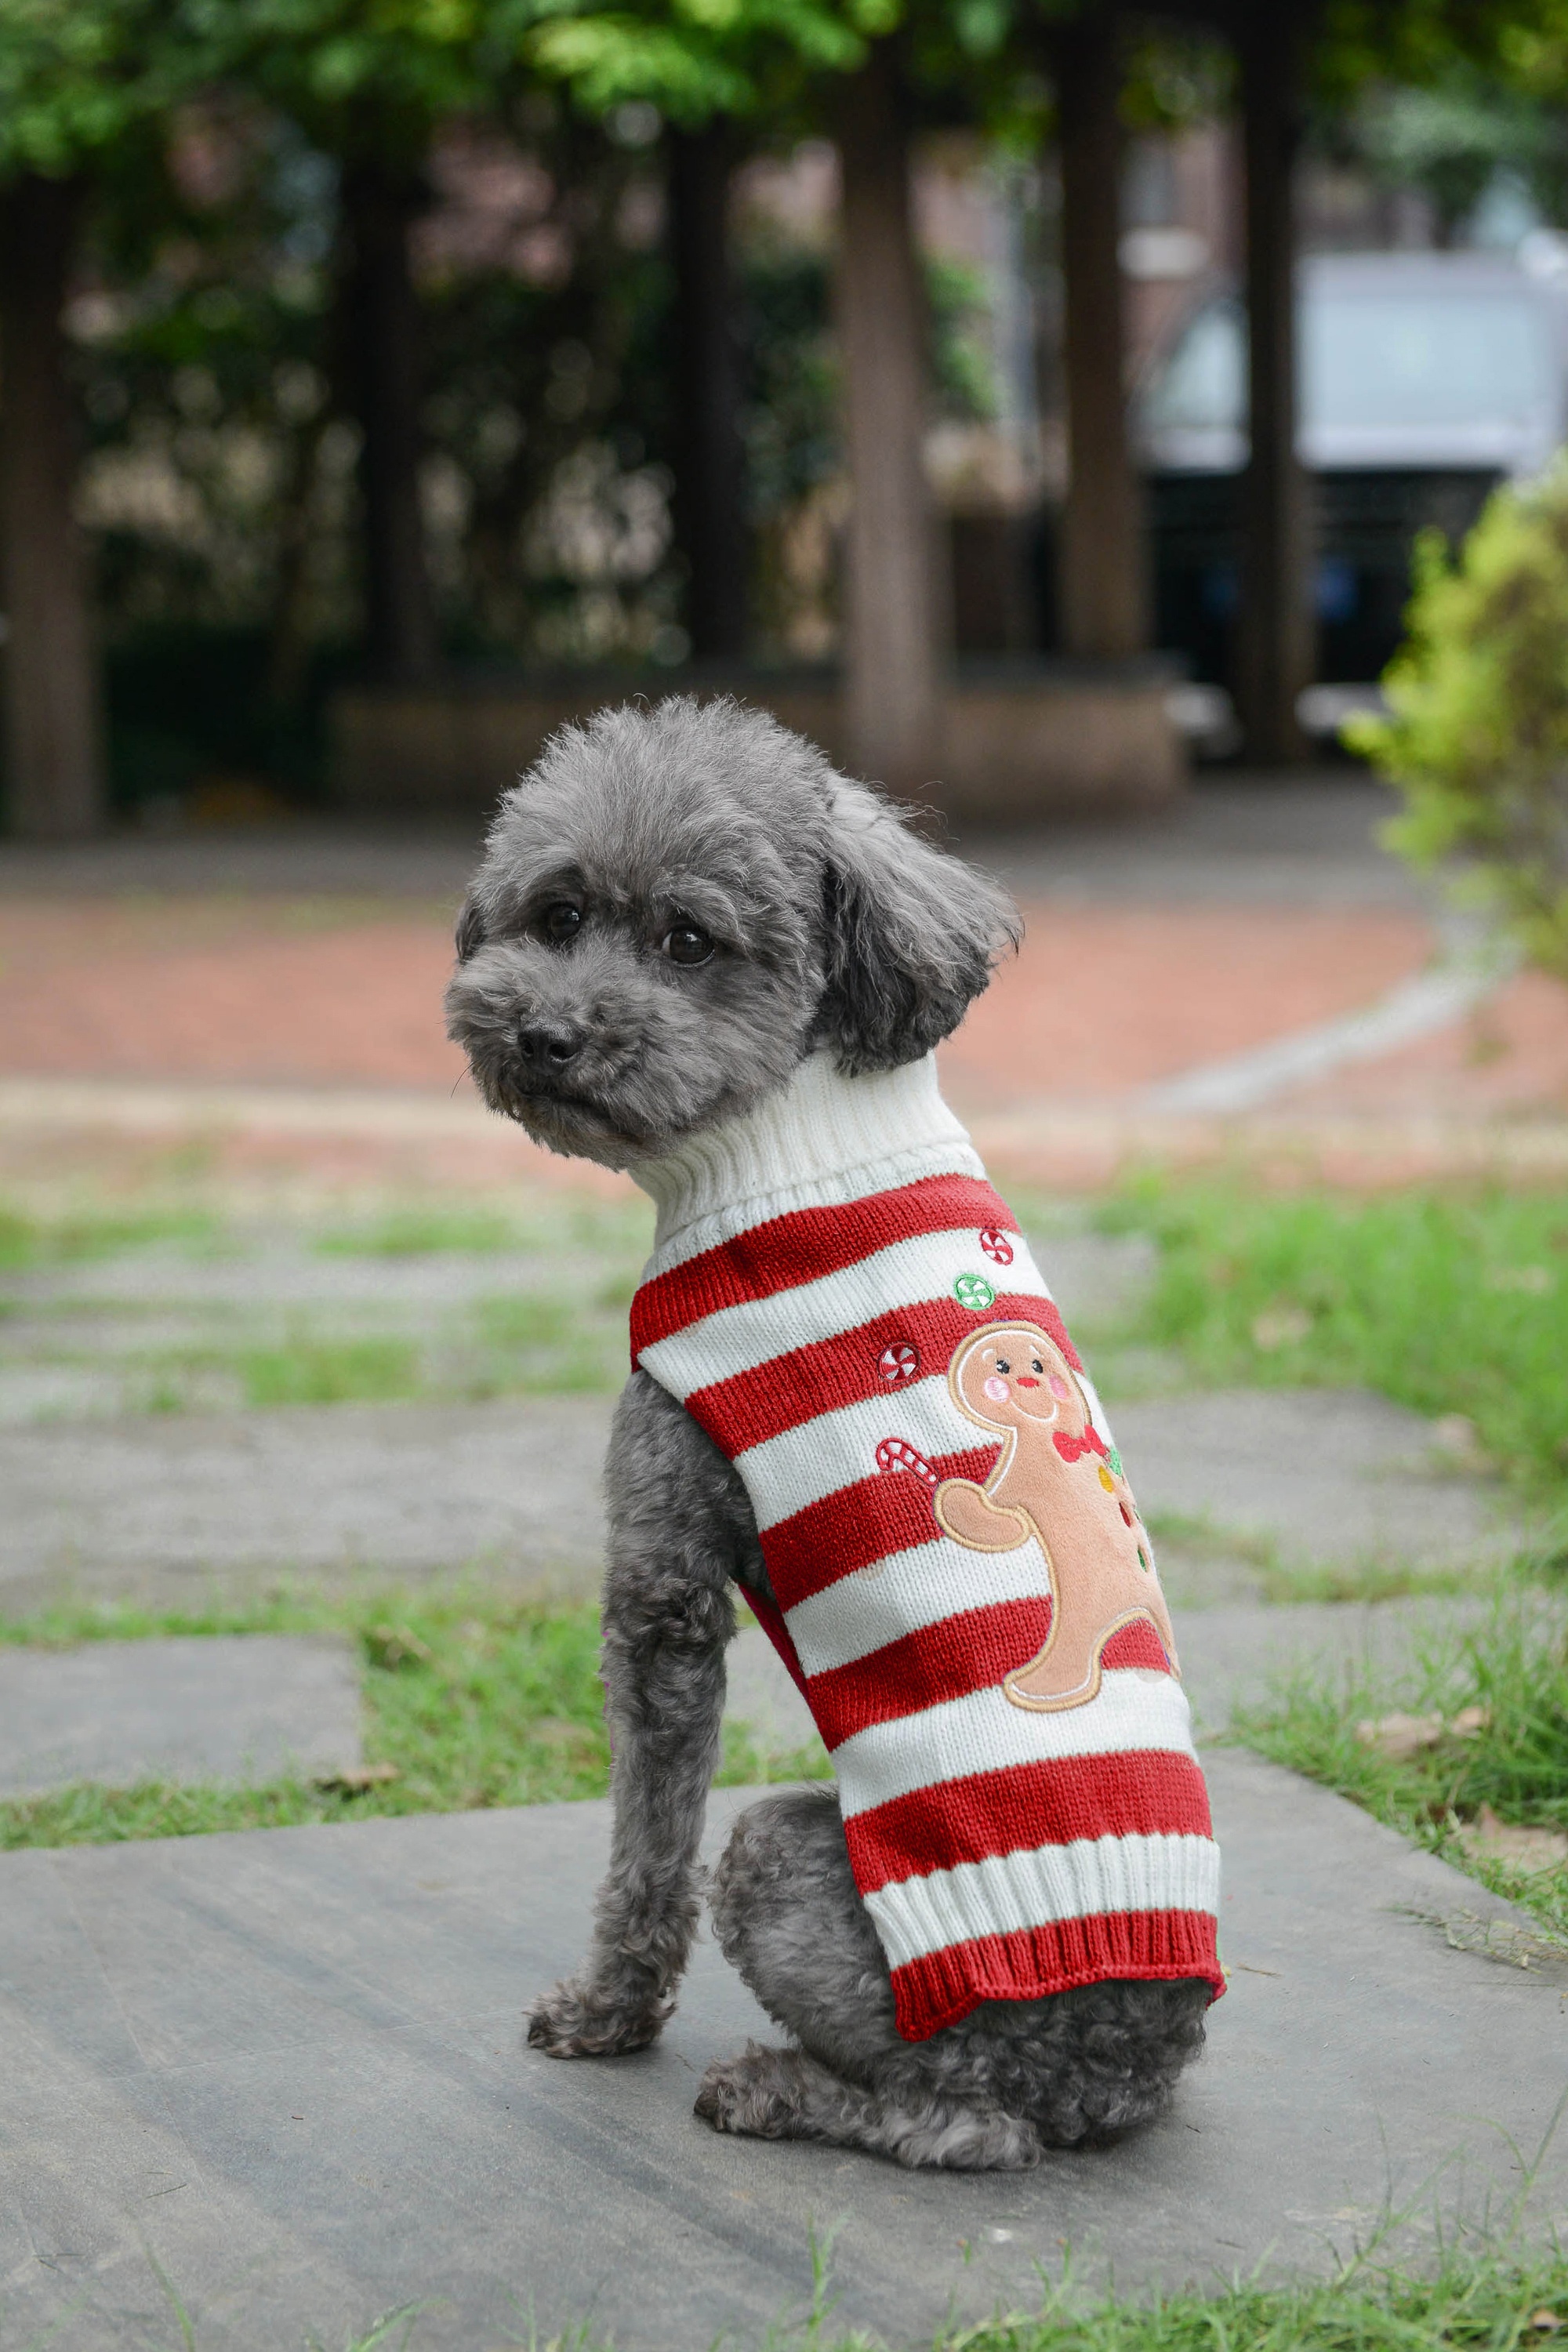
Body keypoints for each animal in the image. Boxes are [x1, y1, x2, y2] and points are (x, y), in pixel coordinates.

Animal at [444, 696, 1213, 2164]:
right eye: (557, 915)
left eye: (690, 940)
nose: (547, 1036)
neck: (791, 1136)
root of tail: (1117, 2074)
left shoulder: (665, 1572)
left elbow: (645, 1844)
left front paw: (606, 2011)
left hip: (805, 1876)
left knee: (958, 2125)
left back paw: (778, 2088)